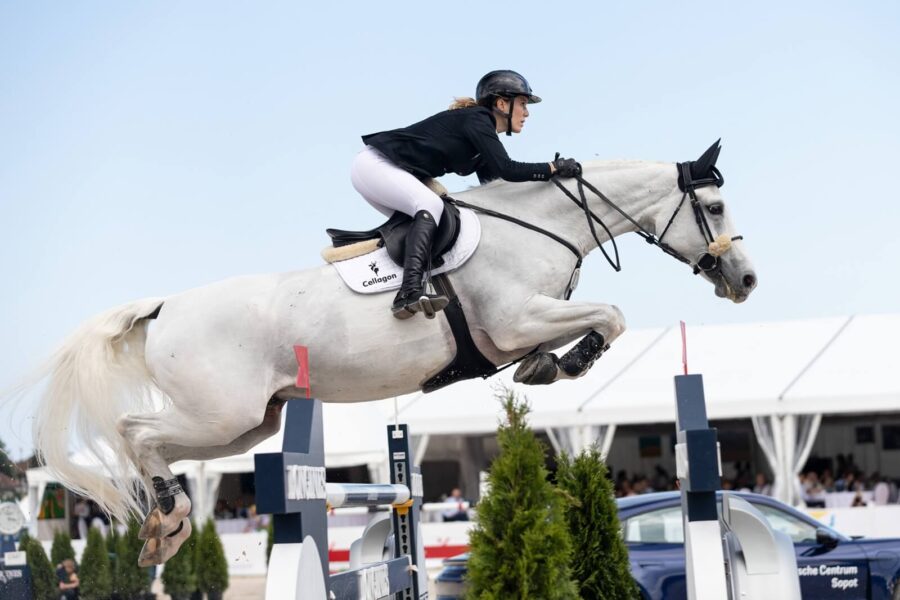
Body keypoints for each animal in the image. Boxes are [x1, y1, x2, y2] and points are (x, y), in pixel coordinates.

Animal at [31, 139, 756, 564]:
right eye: (717, 206)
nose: (745, 280)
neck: (540, 223)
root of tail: (163, 307)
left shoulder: (524, 323)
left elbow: (588, 324)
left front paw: (549, 365)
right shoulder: (514, 319)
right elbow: (612, 314)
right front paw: (568, 363)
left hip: (246, 424)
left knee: (155, 444)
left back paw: (166, 524)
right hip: (221, 414)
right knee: (134, 430)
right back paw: (169, 519)